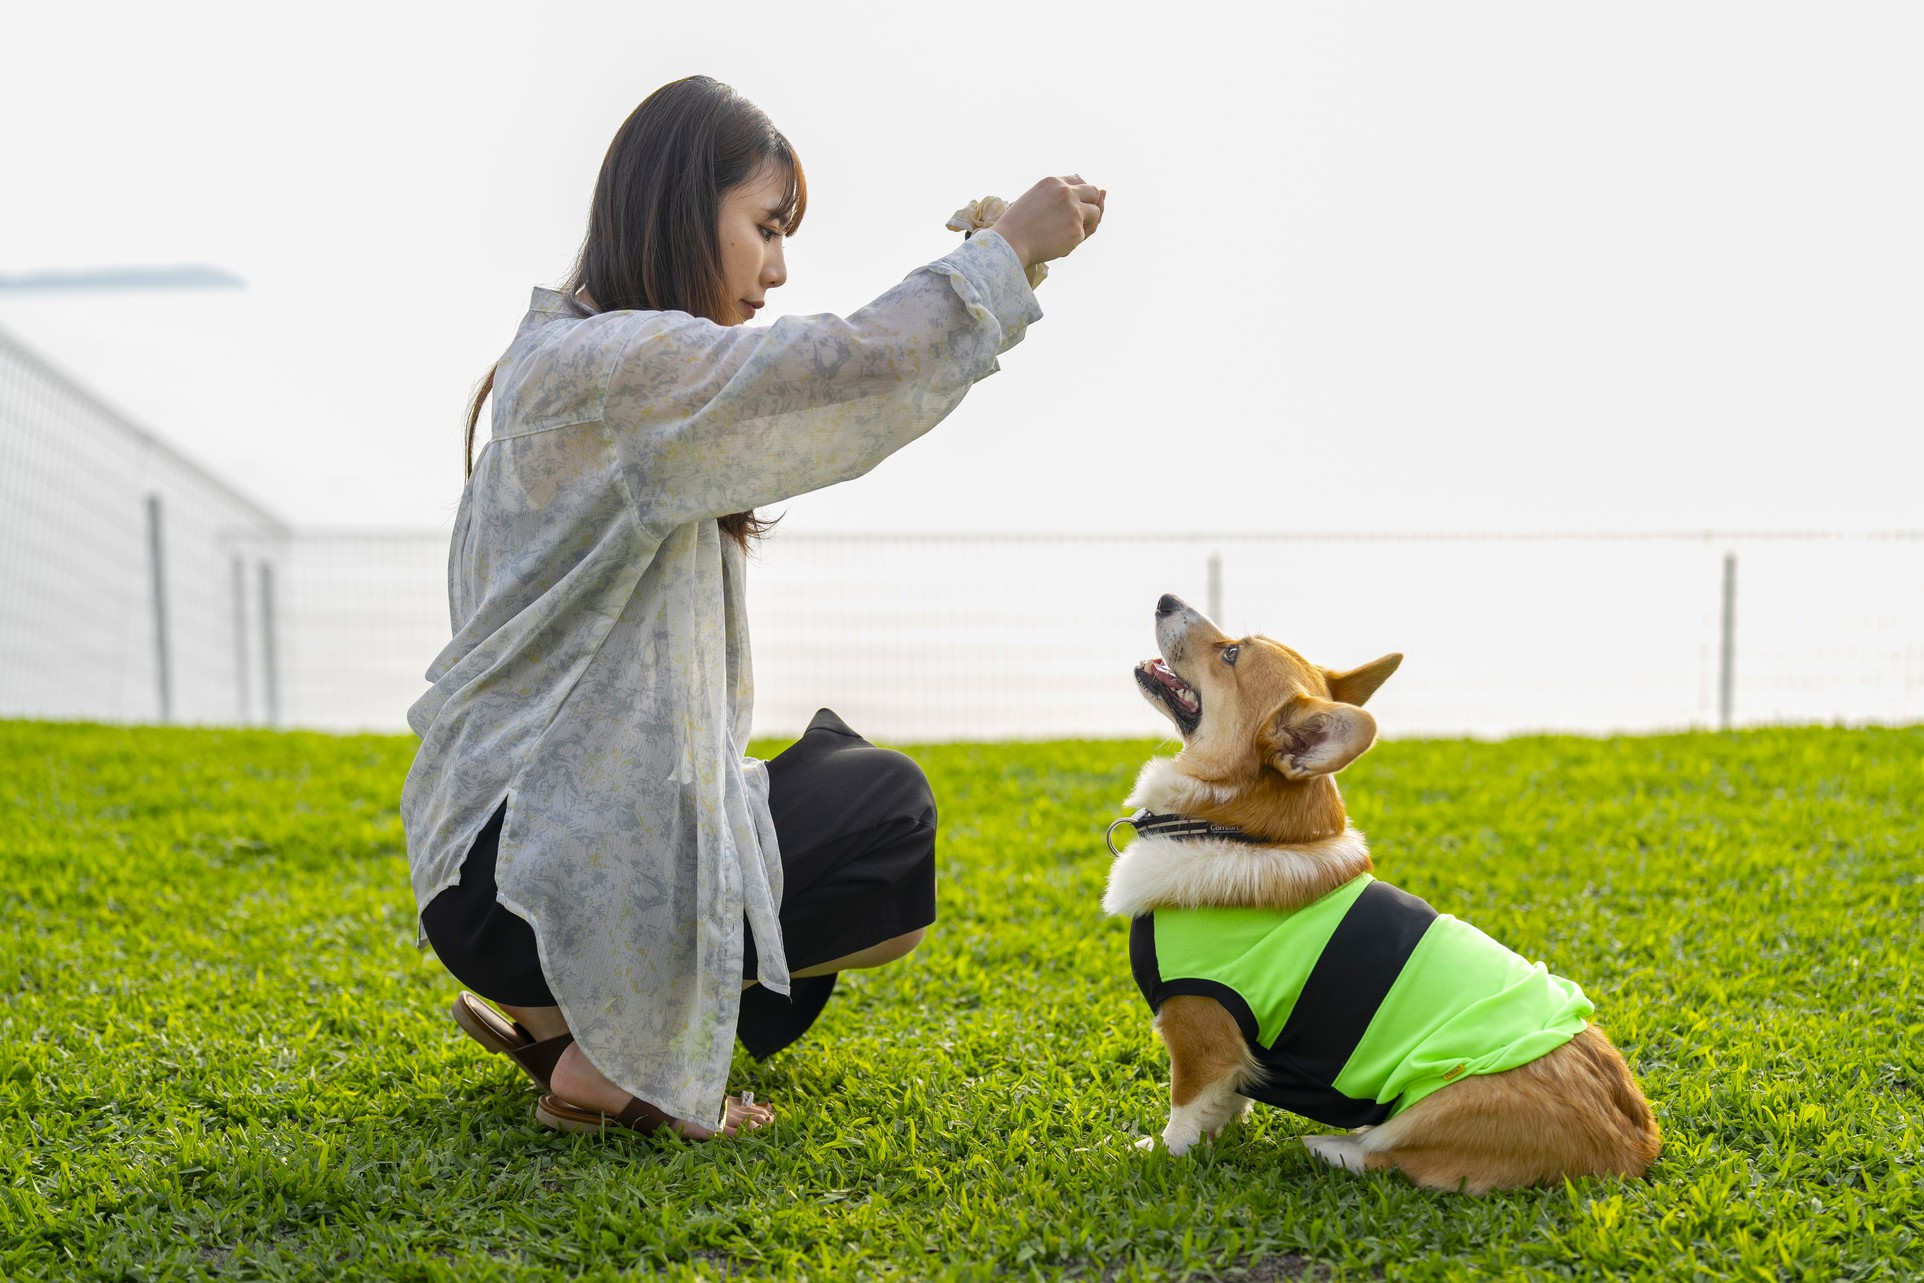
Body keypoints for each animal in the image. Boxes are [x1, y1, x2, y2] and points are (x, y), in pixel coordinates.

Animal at [1108, 592, 1662, 1192]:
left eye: (1231, 653)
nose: (1165, 598)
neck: (1231, 828)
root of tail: (1636, 1147)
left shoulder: (1199, 1033)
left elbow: (1185, 1115)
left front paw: (1155, 1155)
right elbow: (1227, 1107)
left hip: (1440, 1100)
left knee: (1393, 1157)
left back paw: (1326, 1146)